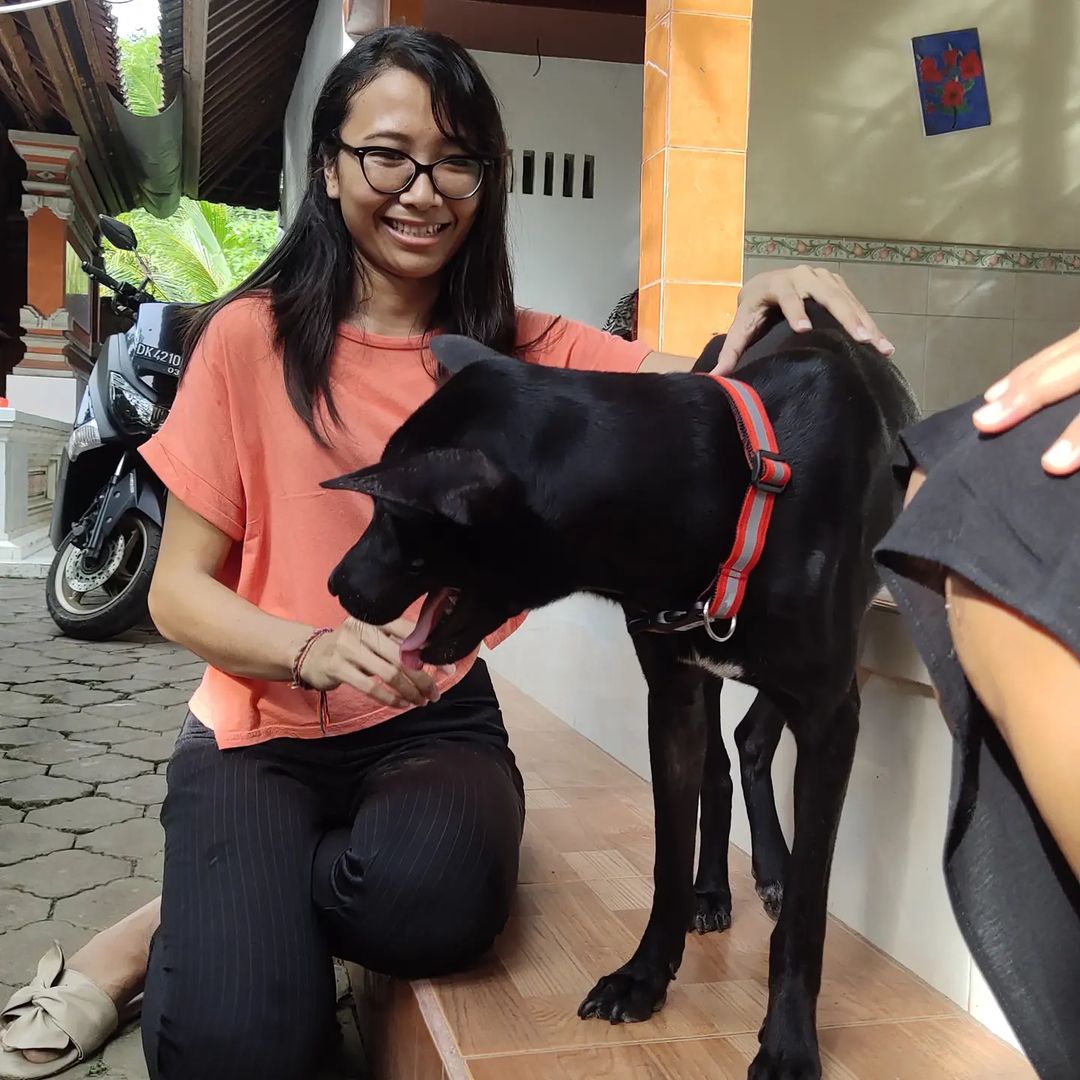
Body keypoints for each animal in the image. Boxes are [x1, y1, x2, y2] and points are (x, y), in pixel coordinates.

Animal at [324, 308, 915, 1075]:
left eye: (396, 518)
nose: (337, 584)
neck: (736, 490)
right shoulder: (671, 698)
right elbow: (667, 854)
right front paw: (644, 976)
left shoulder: (830, 717)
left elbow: (810, 908)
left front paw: (789, 1036)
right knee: (729, 756)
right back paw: (713, 889)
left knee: (755, 741)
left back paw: (771, 871)